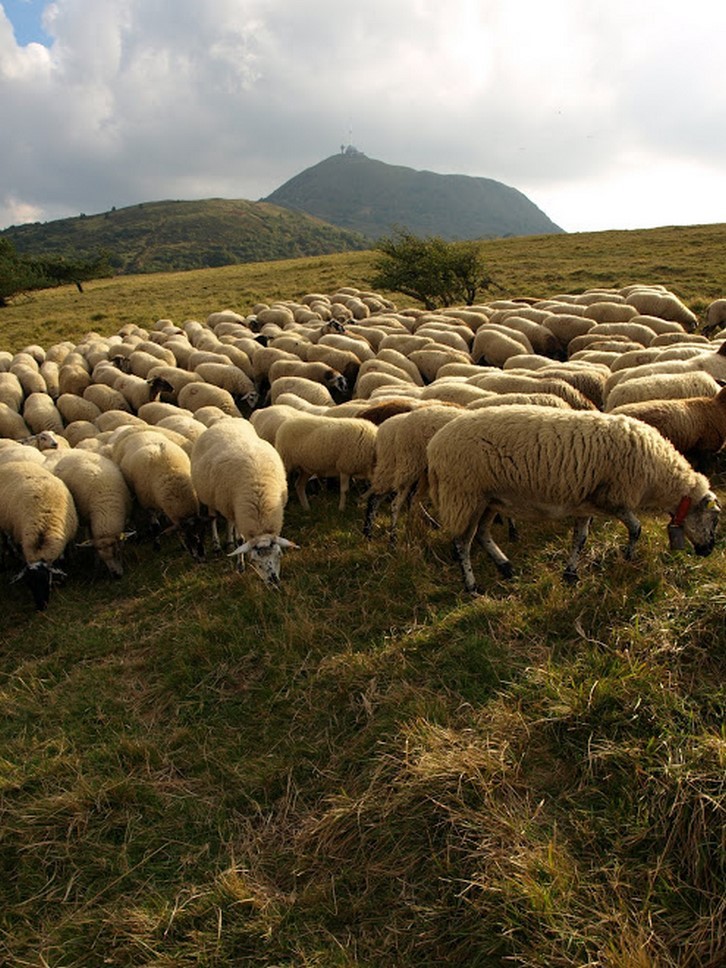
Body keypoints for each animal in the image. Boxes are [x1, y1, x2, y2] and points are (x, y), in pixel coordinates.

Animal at [430, 400, 720, 588]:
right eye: (716, 518)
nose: (708, 551)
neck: (659, 476)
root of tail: (435, 444)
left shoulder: (586, 503)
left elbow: (580, 539)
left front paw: (570, 574)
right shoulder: (614, 497)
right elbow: (636, 528)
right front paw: (627, 557)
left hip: (490, 499)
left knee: (481, 534)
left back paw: (505, 567)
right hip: (465, 494)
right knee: (462, 542)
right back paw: (471, 585)